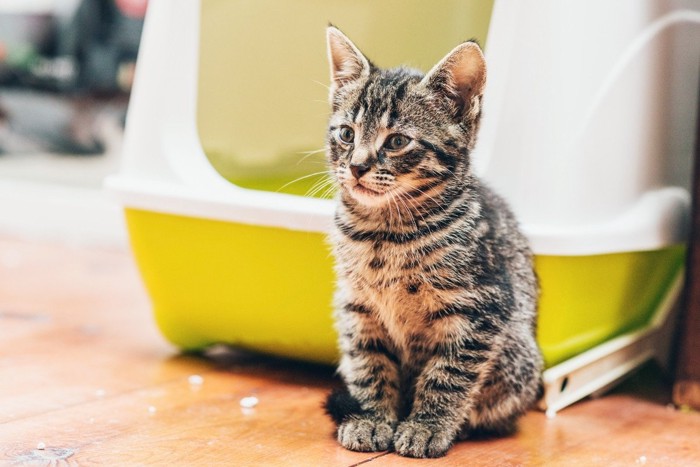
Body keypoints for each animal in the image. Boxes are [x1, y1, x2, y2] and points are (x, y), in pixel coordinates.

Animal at [322, 26, 540, 460]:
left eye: (397, 142)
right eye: (347, 134)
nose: (356, 166)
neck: (383, 232)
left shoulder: (479, 310)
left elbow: (448, 374)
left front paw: (427, 427)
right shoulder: (356, 307)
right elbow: (370, 365)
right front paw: (372, 418)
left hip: (519, 359)